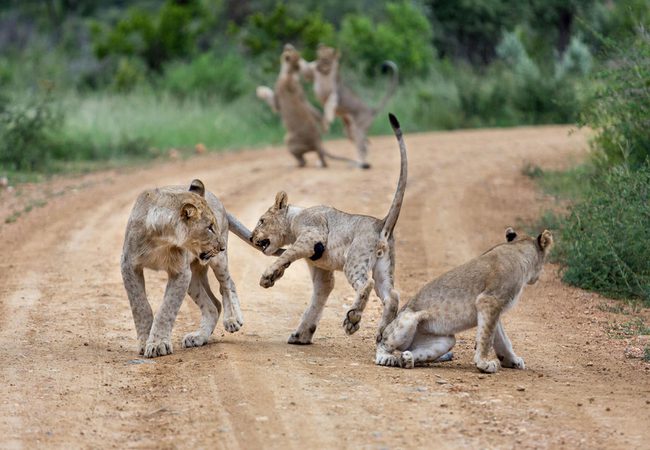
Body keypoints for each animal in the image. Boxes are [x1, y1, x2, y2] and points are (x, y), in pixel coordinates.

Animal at [121, 179, 250, 358]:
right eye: (209, 227)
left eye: (214, 225)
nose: (222, 246)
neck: (161, 239)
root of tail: (215, 196)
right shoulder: (129, 265)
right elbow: (140, 305)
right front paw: (145, 341)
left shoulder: (180, 272)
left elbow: (167, 308)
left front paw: (158, 344)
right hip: (193, 278)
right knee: (213, 305)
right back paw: (199, 337)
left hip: (217, 263)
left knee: (228, 285)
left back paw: (233, 320)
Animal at [249, 113, 407, 344]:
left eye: (261, 220)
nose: (251, 237)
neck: (294, 216)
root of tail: (381, 223)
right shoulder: (321, 270)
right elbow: (316, 300)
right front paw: (301, 335)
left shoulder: (312, 234)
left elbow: (287, 253)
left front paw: (268, 275)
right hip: (384, 268)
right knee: (392, 296)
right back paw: (381, 334)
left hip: (355, 259)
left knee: (366, 284)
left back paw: (352, 319)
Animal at [375, 227, 553, 373]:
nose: (537, 277)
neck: (517, 250)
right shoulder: (489, 300)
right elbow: (486, 337)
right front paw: (483, 364)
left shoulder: (494, 309)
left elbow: (502, 339)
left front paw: (512, 361)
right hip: (408, 318)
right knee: (382, 343)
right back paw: (386, 358)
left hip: (446, 340)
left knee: (416, 352)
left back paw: (407, 359)